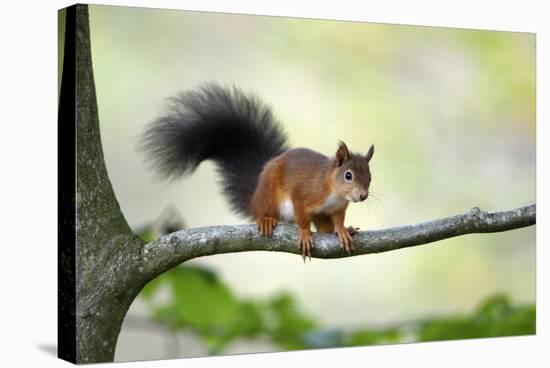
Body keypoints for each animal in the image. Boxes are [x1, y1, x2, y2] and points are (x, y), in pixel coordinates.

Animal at [142, 84, 376, 262]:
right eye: (348, 175)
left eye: (370, 176)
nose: (363, 195)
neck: (333, 191)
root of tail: (254, 198)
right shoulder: (304, 193)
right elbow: (301, 215)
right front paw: (304, 233)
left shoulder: (336, 208)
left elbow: (338, 220)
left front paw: (343, 231)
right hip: (269, 194)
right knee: (263, 212)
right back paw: (265, 220)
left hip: (319, 214)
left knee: (325, 230)